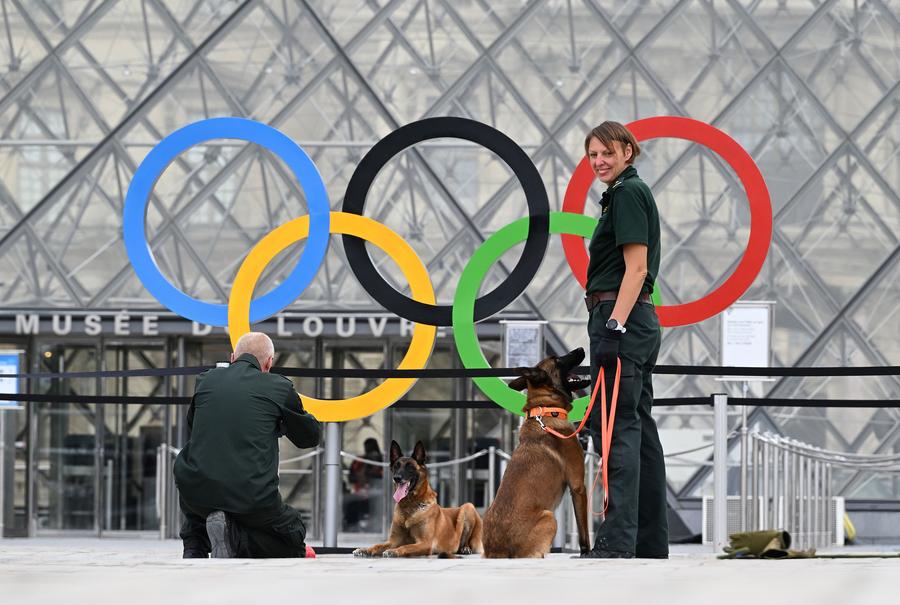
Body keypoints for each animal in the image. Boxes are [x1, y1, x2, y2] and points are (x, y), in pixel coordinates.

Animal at [350, 438, 482, 556]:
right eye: (396, 466)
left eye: (410, 467)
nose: (397, 478)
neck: (409, 505)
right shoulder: (393, 541)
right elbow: (378, 545)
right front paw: (364, 549)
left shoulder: (425, 543)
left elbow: (406, 546)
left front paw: (394, 551)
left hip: (468, 507)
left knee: (467, 540)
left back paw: (465, 548)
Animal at [482, 346, 596, 560]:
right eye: (558, 360)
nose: (581, 349)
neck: (546, 409)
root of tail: (497, 550)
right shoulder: (578, 487)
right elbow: (583, 530)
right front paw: (587, 553)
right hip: (549, 516)